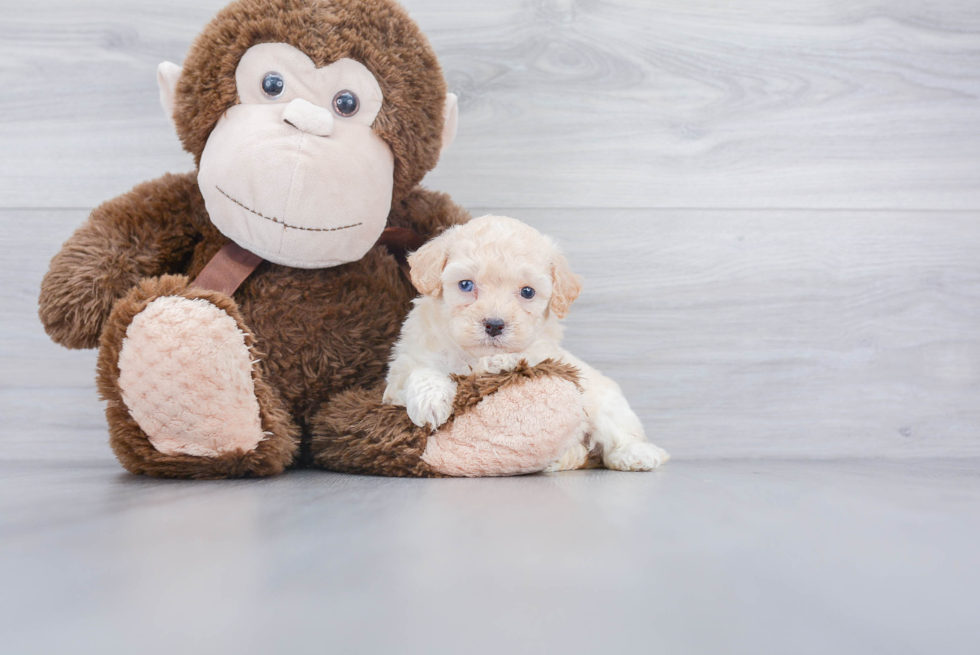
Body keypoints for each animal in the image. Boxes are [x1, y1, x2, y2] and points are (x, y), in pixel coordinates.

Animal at [378, 215, 668, 472]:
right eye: (465, 285)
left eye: (527, 292)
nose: (494, 325)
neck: (472, 356)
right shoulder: (403, 370)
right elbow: (419, 373)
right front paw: (430, 402)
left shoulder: (543, 354)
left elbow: (521, 356)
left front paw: (498, 361)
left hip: (603, 402)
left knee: (618, 431)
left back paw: (637, 455)